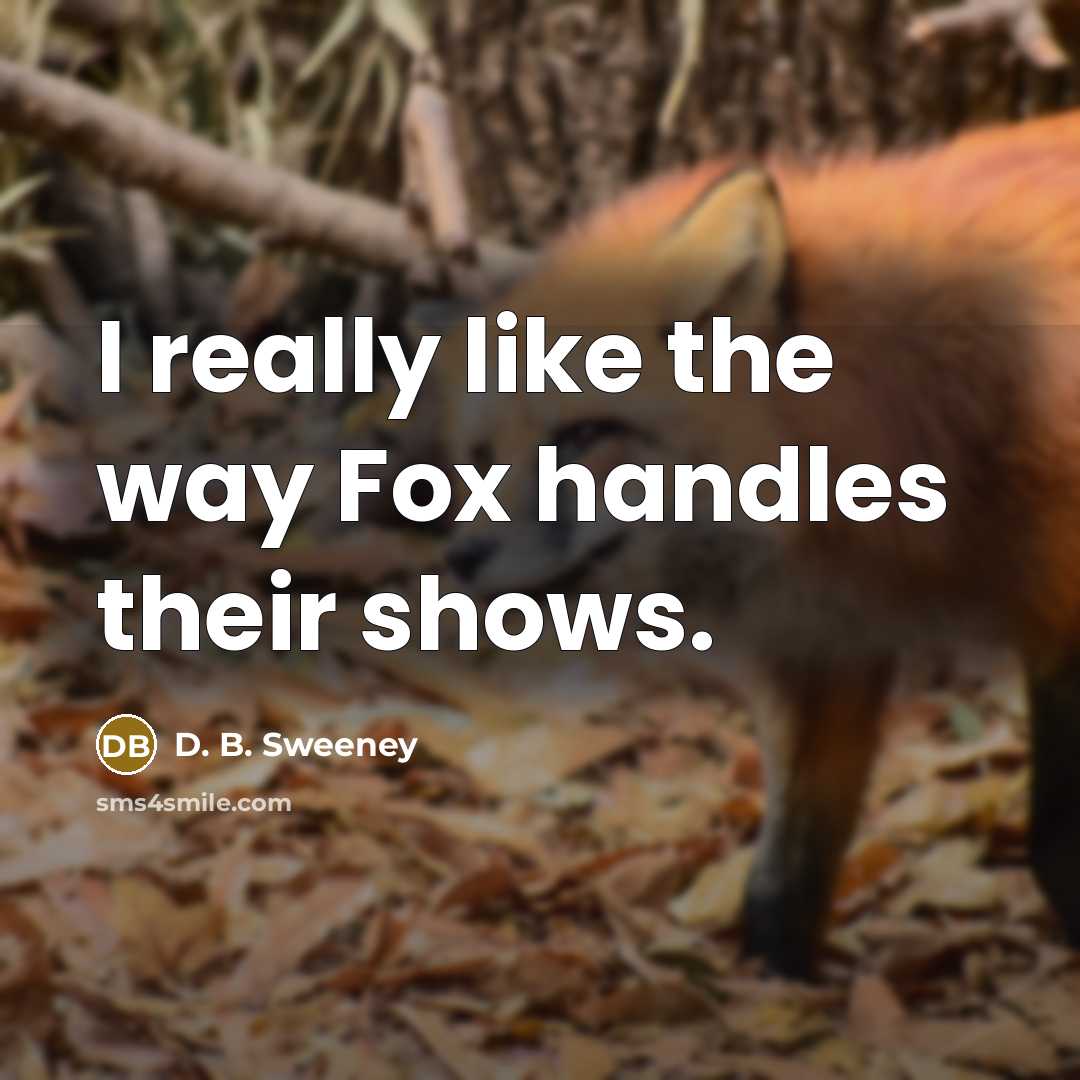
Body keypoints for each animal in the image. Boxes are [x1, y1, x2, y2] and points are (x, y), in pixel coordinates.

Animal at [432, 109, 1080, 979]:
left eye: (587, 435)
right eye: (481, 457)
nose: (461, 557)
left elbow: (1058, 841)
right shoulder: (825, 637)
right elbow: (786, 871)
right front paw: (778, 984)